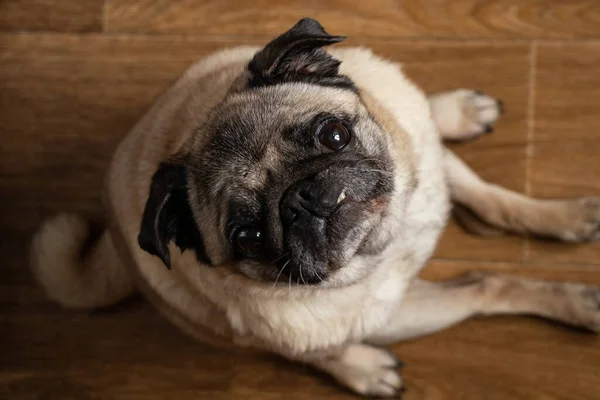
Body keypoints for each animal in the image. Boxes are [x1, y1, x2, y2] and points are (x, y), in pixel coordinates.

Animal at [31, 18, 600, 396]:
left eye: (334, 134)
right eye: (249, 237)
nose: (299, 199)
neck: (385, 239)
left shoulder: (420, 163)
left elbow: (496, 201)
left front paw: (566, 218)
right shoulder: (396, 310)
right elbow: (486, 285)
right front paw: (574, 301)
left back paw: (455, 109)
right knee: (311, 353)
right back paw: (363, 369)